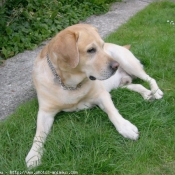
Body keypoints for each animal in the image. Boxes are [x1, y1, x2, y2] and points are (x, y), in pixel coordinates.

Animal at [25, 23, 163, 168]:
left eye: (102, 46)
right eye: (91, 50)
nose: (116, 65)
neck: (70, 84)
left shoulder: (102, 95)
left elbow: (112, 113)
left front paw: (126, 128)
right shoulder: (45, 112)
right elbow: (39, 134)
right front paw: (34, 154)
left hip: (128, 63)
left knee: (150, 78)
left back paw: (156, 91)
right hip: (120, 84)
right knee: (137, 85)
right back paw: (147, 94)